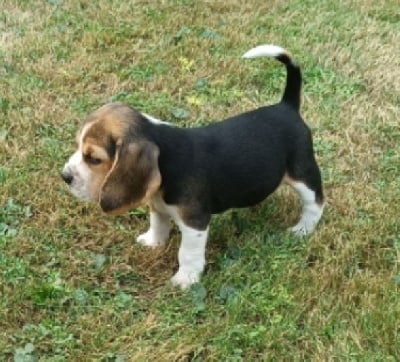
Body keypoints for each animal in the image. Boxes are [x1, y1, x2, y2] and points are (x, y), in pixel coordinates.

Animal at [62, 44, 324, 288]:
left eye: (93, 158)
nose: (65, 176)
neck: (165, 158)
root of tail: (287, 106)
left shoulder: (194, 223)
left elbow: (187, 253)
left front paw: (185, 280)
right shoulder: (157, 205)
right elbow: (158, 224)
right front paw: (153, 242)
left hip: (302, 172)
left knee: (315, 203)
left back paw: (302, 229)